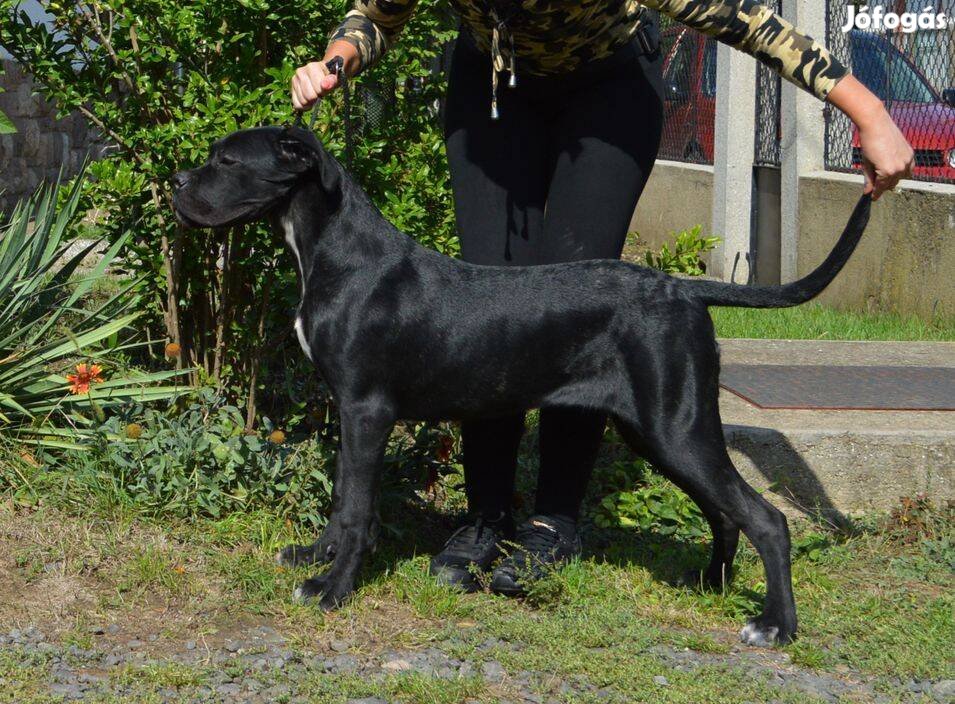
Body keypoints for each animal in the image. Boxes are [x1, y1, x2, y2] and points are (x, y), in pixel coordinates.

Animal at [168, 125, 872, 644]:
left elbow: (359, 507)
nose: (174, 181)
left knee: (766, 518)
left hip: (677, 429)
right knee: (724, 511)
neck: (333, 251)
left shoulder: (367, 411)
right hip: (658, 431)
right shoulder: (348, 412)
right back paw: (710, 583)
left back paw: (775, 626)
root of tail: (684, 288)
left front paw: (334, 590)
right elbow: (342, 500)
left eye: (226, 160)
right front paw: (315, 561)